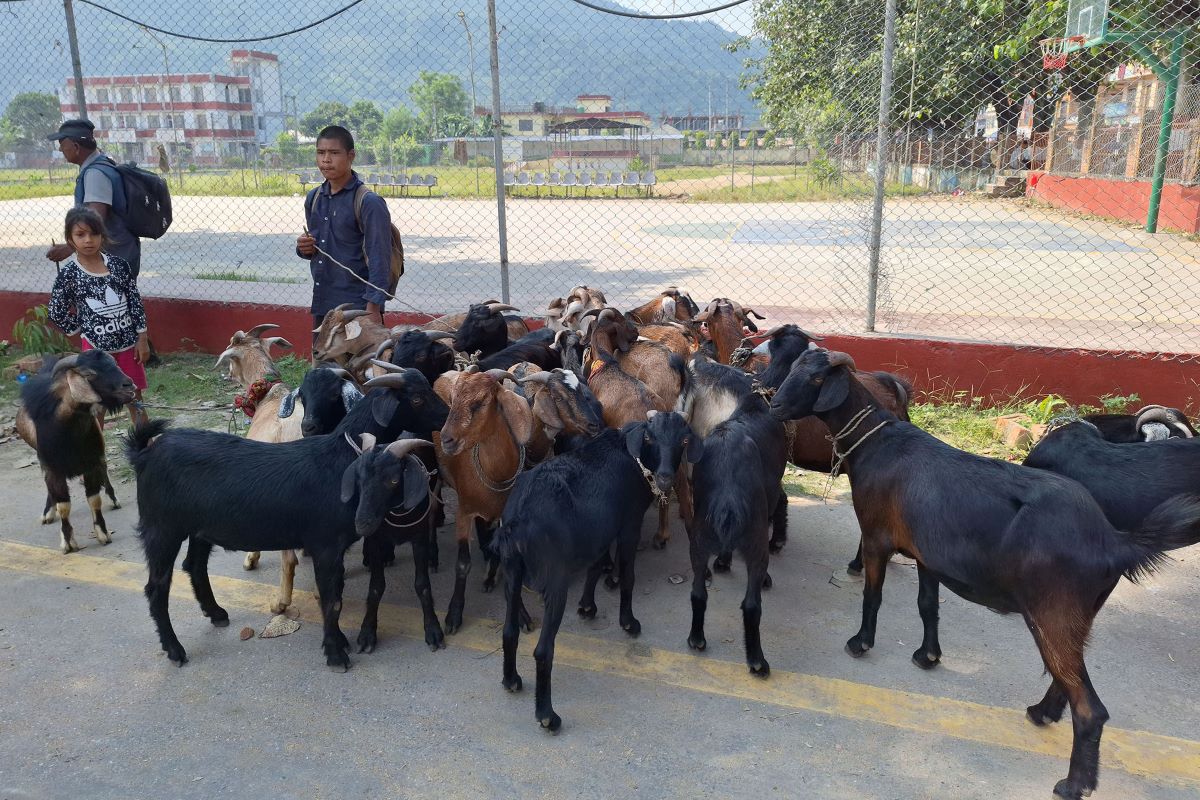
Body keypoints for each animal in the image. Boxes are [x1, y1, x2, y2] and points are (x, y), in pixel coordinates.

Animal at [15, 352, 135, 554]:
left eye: (114, 363)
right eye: (88, 374)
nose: (129, 385)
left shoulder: (91, 463)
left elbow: (94, 499)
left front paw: (103, 533)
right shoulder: (54, 467)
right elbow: (64, 505)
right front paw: (68, 542)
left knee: (104, 471)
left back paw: (113, 499)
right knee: (49, 486)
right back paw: (48, 512)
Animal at [125, 369, 451, 671]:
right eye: (417, 398)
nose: (448, 416)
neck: (339, 460)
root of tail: (145, 453)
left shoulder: (334, 548)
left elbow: (336, 595)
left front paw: (339, 641)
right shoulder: (325, 544)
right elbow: (331, 600)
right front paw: (336, 654)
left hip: (199, 527)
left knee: (194, 565)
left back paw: (216, 613)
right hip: (161, 528)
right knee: (157, 588)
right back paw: (175, 650)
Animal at [494, 412, 696, 734]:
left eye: (684, 440)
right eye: (649, 437)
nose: (666, 477)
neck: (630, 455)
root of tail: (518, 520)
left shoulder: (600, 528)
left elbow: (597, 564)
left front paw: (588, 606)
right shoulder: (628, 524)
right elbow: (627, 575)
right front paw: (628, 622)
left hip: (512, 573)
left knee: (509, 630)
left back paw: (511, 679)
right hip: (555, 580)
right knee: (543, 650)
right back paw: (547, 715)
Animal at [686, 388, 787, 676]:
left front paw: (723, 561)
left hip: (698, 543)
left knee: (698, 593)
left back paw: (696, 638)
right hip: (756, 546)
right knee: (751, 605)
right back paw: (757, 661)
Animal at [768, 347, 1200, 800]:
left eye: (817, 379)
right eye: (795, 367)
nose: (775, 405)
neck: (879, 443)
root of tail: (1113, 541)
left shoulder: (875, 538)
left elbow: (874, 595)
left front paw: (861, 643)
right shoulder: (926, 552)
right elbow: (927, 604)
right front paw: (928, 655)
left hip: (1053, 612)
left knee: (1090, 707)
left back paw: (1072, 784)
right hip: (1079, 614)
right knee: (1069, 677)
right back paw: (1041, 713)